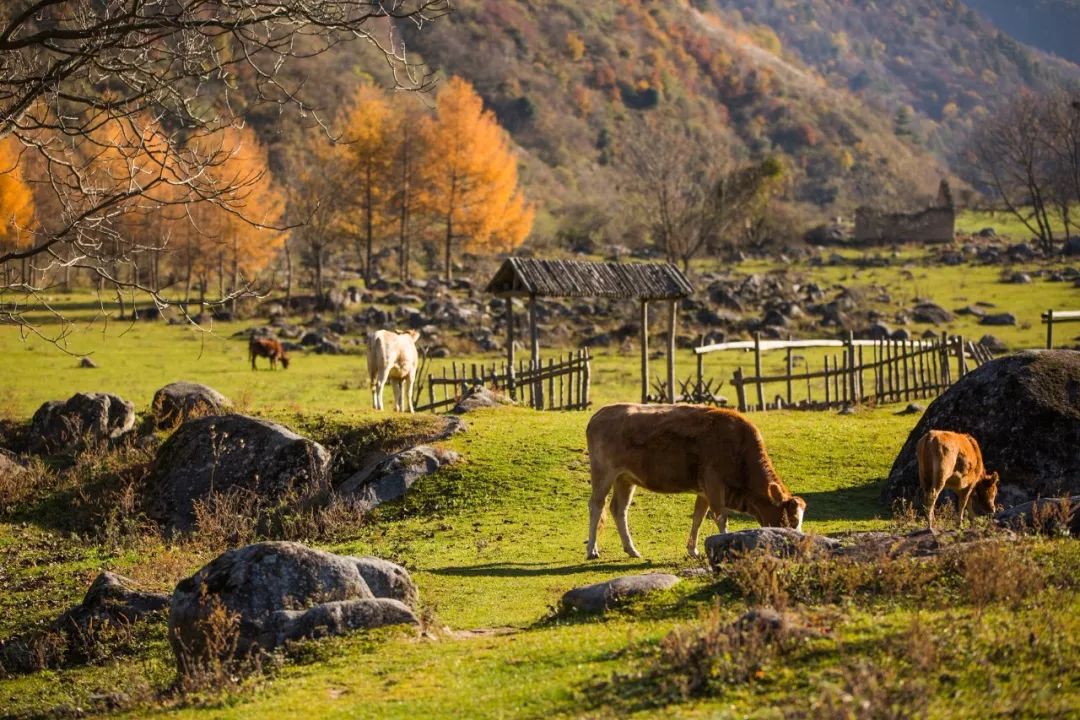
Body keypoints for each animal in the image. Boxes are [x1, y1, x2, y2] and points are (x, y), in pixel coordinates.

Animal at [587, 403, 807, 561]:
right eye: (791, 521)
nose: (798, 546)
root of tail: (600, 413)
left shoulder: (704, 491)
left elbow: (698, 518)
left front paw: (693, 550)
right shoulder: (714, 484)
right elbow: (720, 517)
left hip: (625, 479)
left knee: (619, 509)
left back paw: (631, 549)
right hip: (603, 473)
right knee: (596, 505)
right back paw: (592, 550)